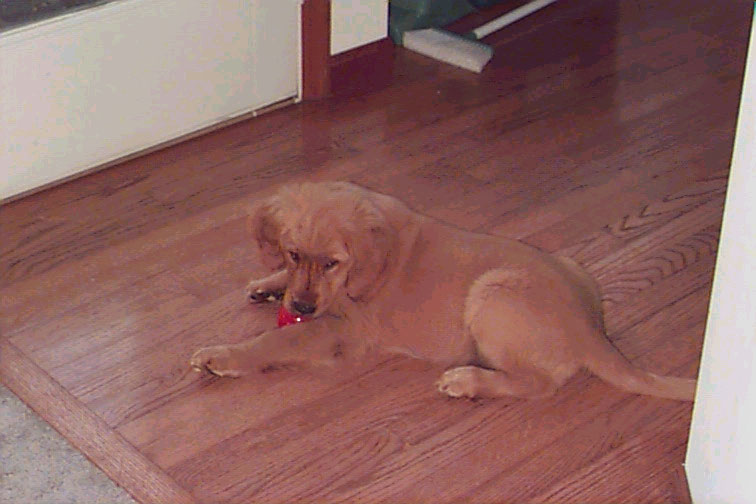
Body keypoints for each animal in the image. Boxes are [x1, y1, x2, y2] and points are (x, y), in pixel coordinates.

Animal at [190, 182, 696, 402]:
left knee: (539, 384)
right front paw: (267, 285)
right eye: (293, 253)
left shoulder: (341, 330)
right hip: (571, 267)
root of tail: (592, 328)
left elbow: (277, 340)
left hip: (492, 295)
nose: (300, 304)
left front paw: (225, 356)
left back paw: (468, 380)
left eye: (332, 263)